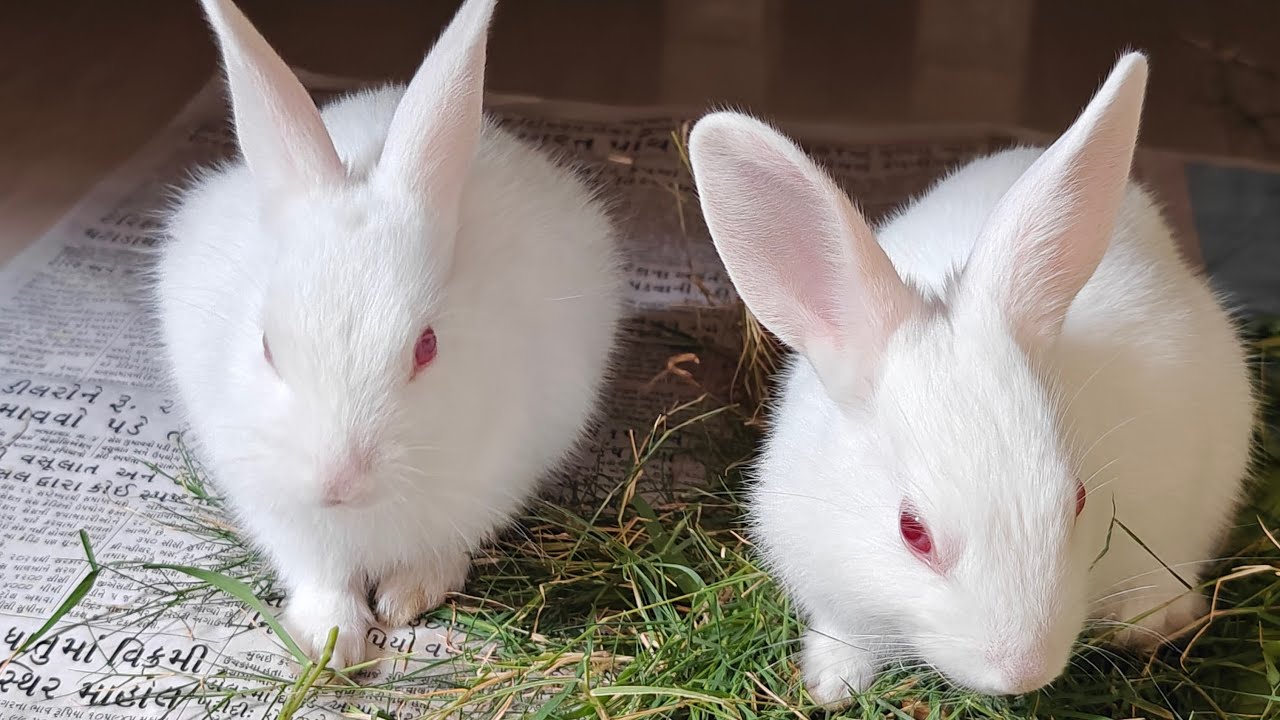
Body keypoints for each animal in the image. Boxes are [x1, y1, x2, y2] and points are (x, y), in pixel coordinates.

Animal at [154, 0, 624, 669]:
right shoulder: (279, 508)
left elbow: (439, 552)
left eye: (427, 346)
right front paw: (329, 645)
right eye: (268, 347)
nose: (340, 481)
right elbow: (321, 577)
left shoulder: (492, 482)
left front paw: (405, 601)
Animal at [688, 52, 1255, 702]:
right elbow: (844, 634)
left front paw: (1150, 625)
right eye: (912, 532)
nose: (1022, 670)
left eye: (1079, 499)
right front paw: (834, 685)